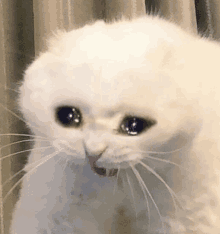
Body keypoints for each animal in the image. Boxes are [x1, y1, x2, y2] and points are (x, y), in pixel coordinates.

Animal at [9, 15, 220, 233]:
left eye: (134, 125)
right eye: (68, 115)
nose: (93, 152)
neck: (119, 186)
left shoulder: (187, 217)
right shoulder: (54, 213)